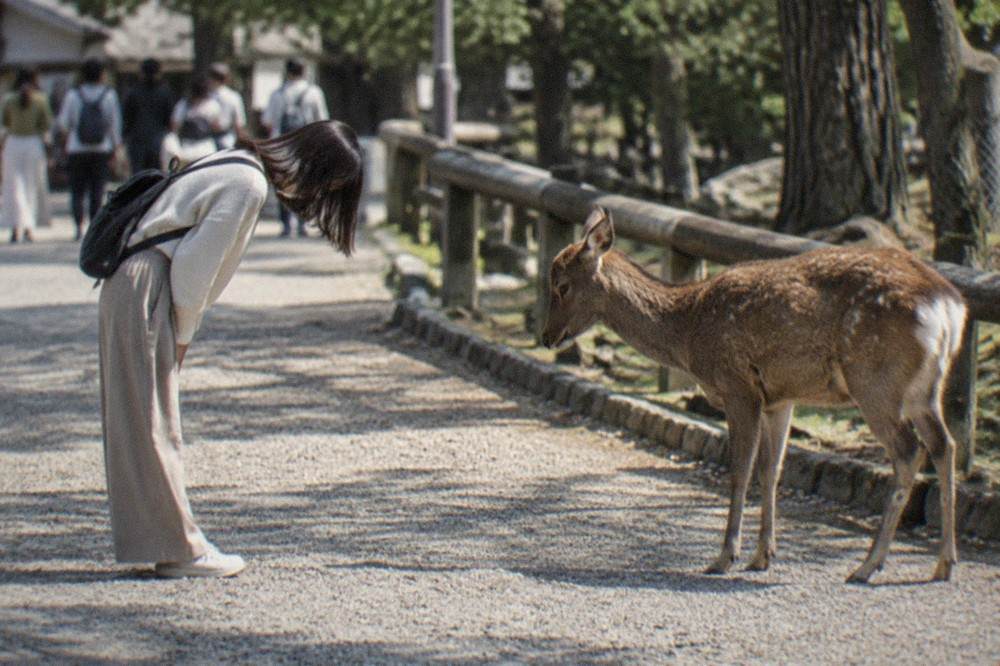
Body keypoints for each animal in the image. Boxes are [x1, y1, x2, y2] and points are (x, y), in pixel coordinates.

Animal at [541, 206, 967, 583]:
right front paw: (763, 555)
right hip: (924, 390)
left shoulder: (737, 385)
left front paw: (725, 556)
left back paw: (868, 565)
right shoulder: (780, 398)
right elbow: (771, 469)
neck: (688, 328)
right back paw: (944, 563)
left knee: (909, 450)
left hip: (876, 380)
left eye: (561, 285)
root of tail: (947, 307)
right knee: (944, 444)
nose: (546, 336)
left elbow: (740, 471)